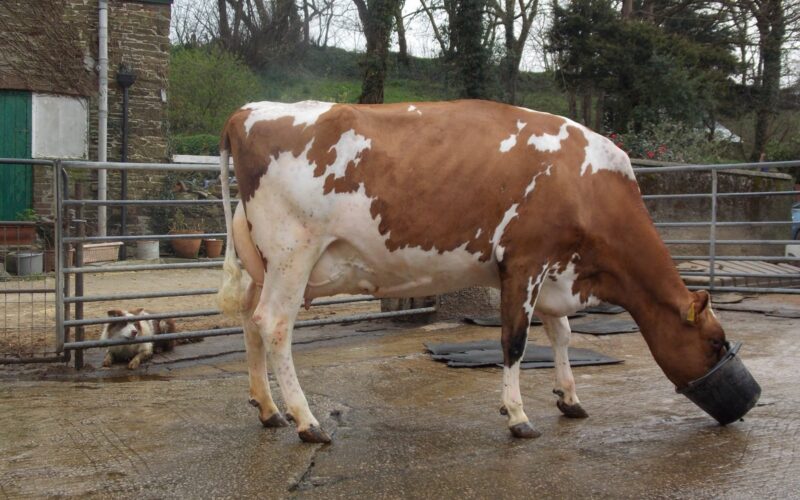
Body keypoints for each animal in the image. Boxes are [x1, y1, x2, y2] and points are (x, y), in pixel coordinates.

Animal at [217, 100, 729, 443]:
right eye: (715, 342)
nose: (742, 406)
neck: (585, 182)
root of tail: (245, 112)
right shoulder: (524, 261)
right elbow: (515, 341)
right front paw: (518, 415)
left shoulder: (552, 270)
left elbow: (562, 335)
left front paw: (569, 398)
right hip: (293, 253)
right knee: (273, 324)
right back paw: (307, 421)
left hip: (262, 262)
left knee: (249, 322)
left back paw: (269, 410)